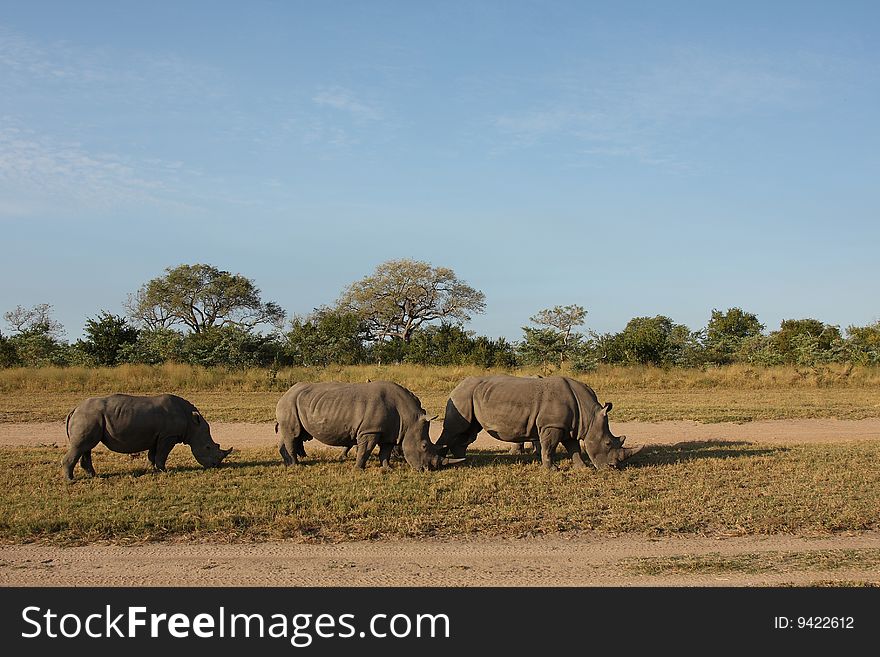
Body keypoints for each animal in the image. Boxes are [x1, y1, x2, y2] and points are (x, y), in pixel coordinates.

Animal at [62, 392, 234, 480]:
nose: (215, 465)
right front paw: (164, 471)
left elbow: (153, 454)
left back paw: (94, 476)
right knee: (81, 446)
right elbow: (162, 454)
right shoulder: (168, 436)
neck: (192, 424)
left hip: (90, 418)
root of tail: (74, 409)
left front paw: (153, 470)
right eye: (208, 447)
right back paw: (71, 480)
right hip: (88, 417)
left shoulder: (157, 436)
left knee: (86, 447)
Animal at [276, 380, 468, 472]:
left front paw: (387, 468)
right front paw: (358, 470)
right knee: (293, 435)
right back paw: (296, 466)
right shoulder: (370, 431)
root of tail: (286, 393)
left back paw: (288, 464)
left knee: (290, 435)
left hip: (294, 403)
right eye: (424, 446)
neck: (409, 418)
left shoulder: (391, 432)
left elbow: (385, 452)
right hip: (289, 403)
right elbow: (365, 450)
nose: (429, 469)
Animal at [436, 374, 644, 466]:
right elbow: (549, 447)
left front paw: (583, 468)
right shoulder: (552, 425)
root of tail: (457, 385)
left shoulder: (570, 426)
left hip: (470, 397)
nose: (613, 467)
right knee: (455, 429)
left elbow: (574, 447)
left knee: (468, 432)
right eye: (608, 443)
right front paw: (551, 469)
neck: (589, 415)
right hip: (462, 397)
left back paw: (462, 460)